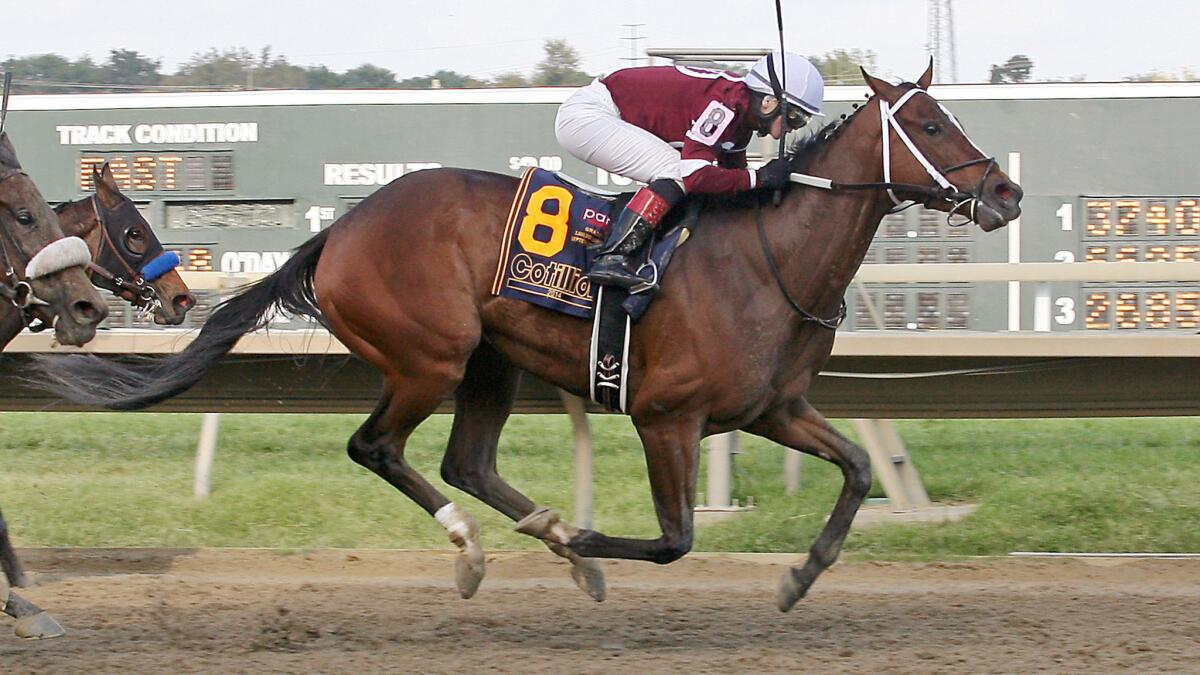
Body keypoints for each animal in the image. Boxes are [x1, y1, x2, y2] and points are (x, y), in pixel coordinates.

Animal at [30, 65, 1022, 607]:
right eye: (928, 122)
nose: (1006, 191)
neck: (768, 256)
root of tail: (339, 230)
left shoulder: (771, 407)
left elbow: (854, 469)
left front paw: (801, 574)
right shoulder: (665, 417)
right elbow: (675, 540)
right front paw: (585, 542)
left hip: (488, 362)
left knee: (465, 459)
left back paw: (537, 532)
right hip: (427, 355)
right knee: (378, 447)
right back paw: (483, 547)